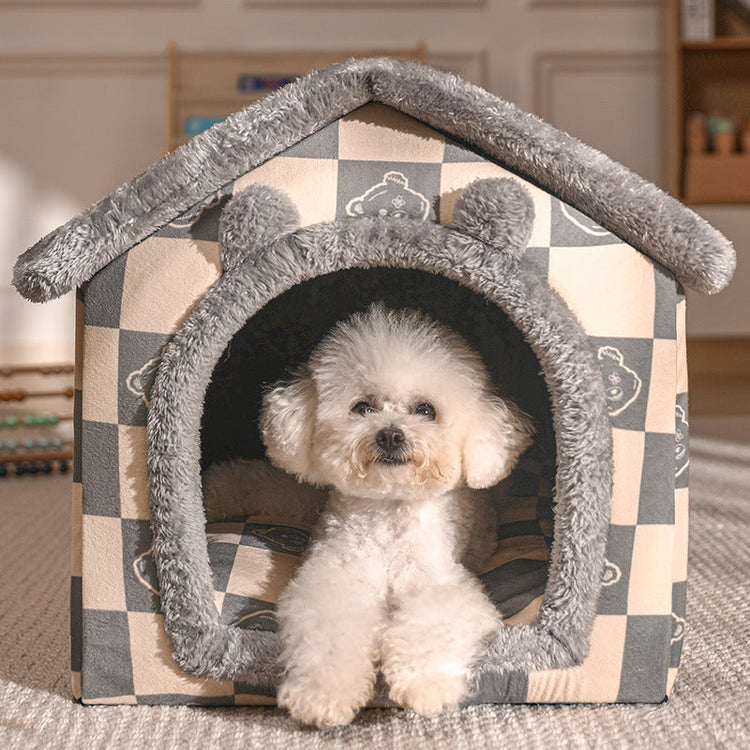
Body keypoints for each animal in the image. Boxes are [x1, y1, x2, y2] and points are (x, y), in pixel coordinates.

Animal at [262, 306, 532, 728]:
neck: (389, 512)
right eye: (362, 407)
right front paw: (322, 694)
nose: (390, 434)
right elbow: (330, 632)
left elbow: (432, 626)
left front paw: (426, 686)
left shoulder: (440, 584)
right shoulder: (336, 579)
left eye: (425, 410)